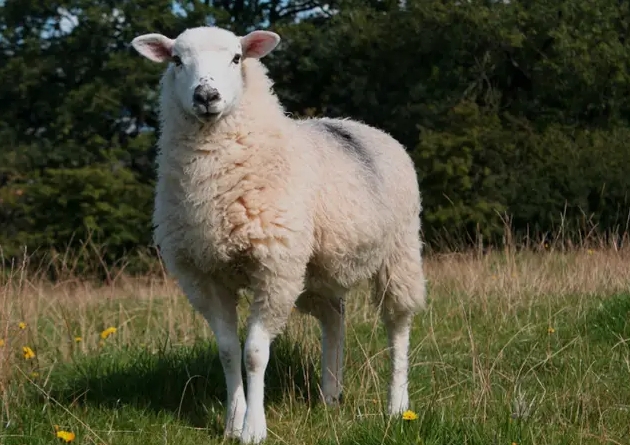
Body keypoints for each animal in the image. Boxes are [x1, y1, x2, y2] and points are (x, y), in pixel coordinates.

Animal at [130, 26, 428, 442]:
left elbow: (255, 352)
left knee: (397, 324)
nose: (206, 97)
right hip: (315, 269)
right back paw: (330, 395)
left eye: (237, 58)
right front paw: (231, 423)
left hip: (398, 251)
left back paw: (397, 405)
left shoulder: (274, 268)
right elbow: (228, 351)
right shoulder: (205, 275)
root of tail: (359, 125)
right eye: (176, 60)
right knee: (334, 318)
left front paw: (254, 428)